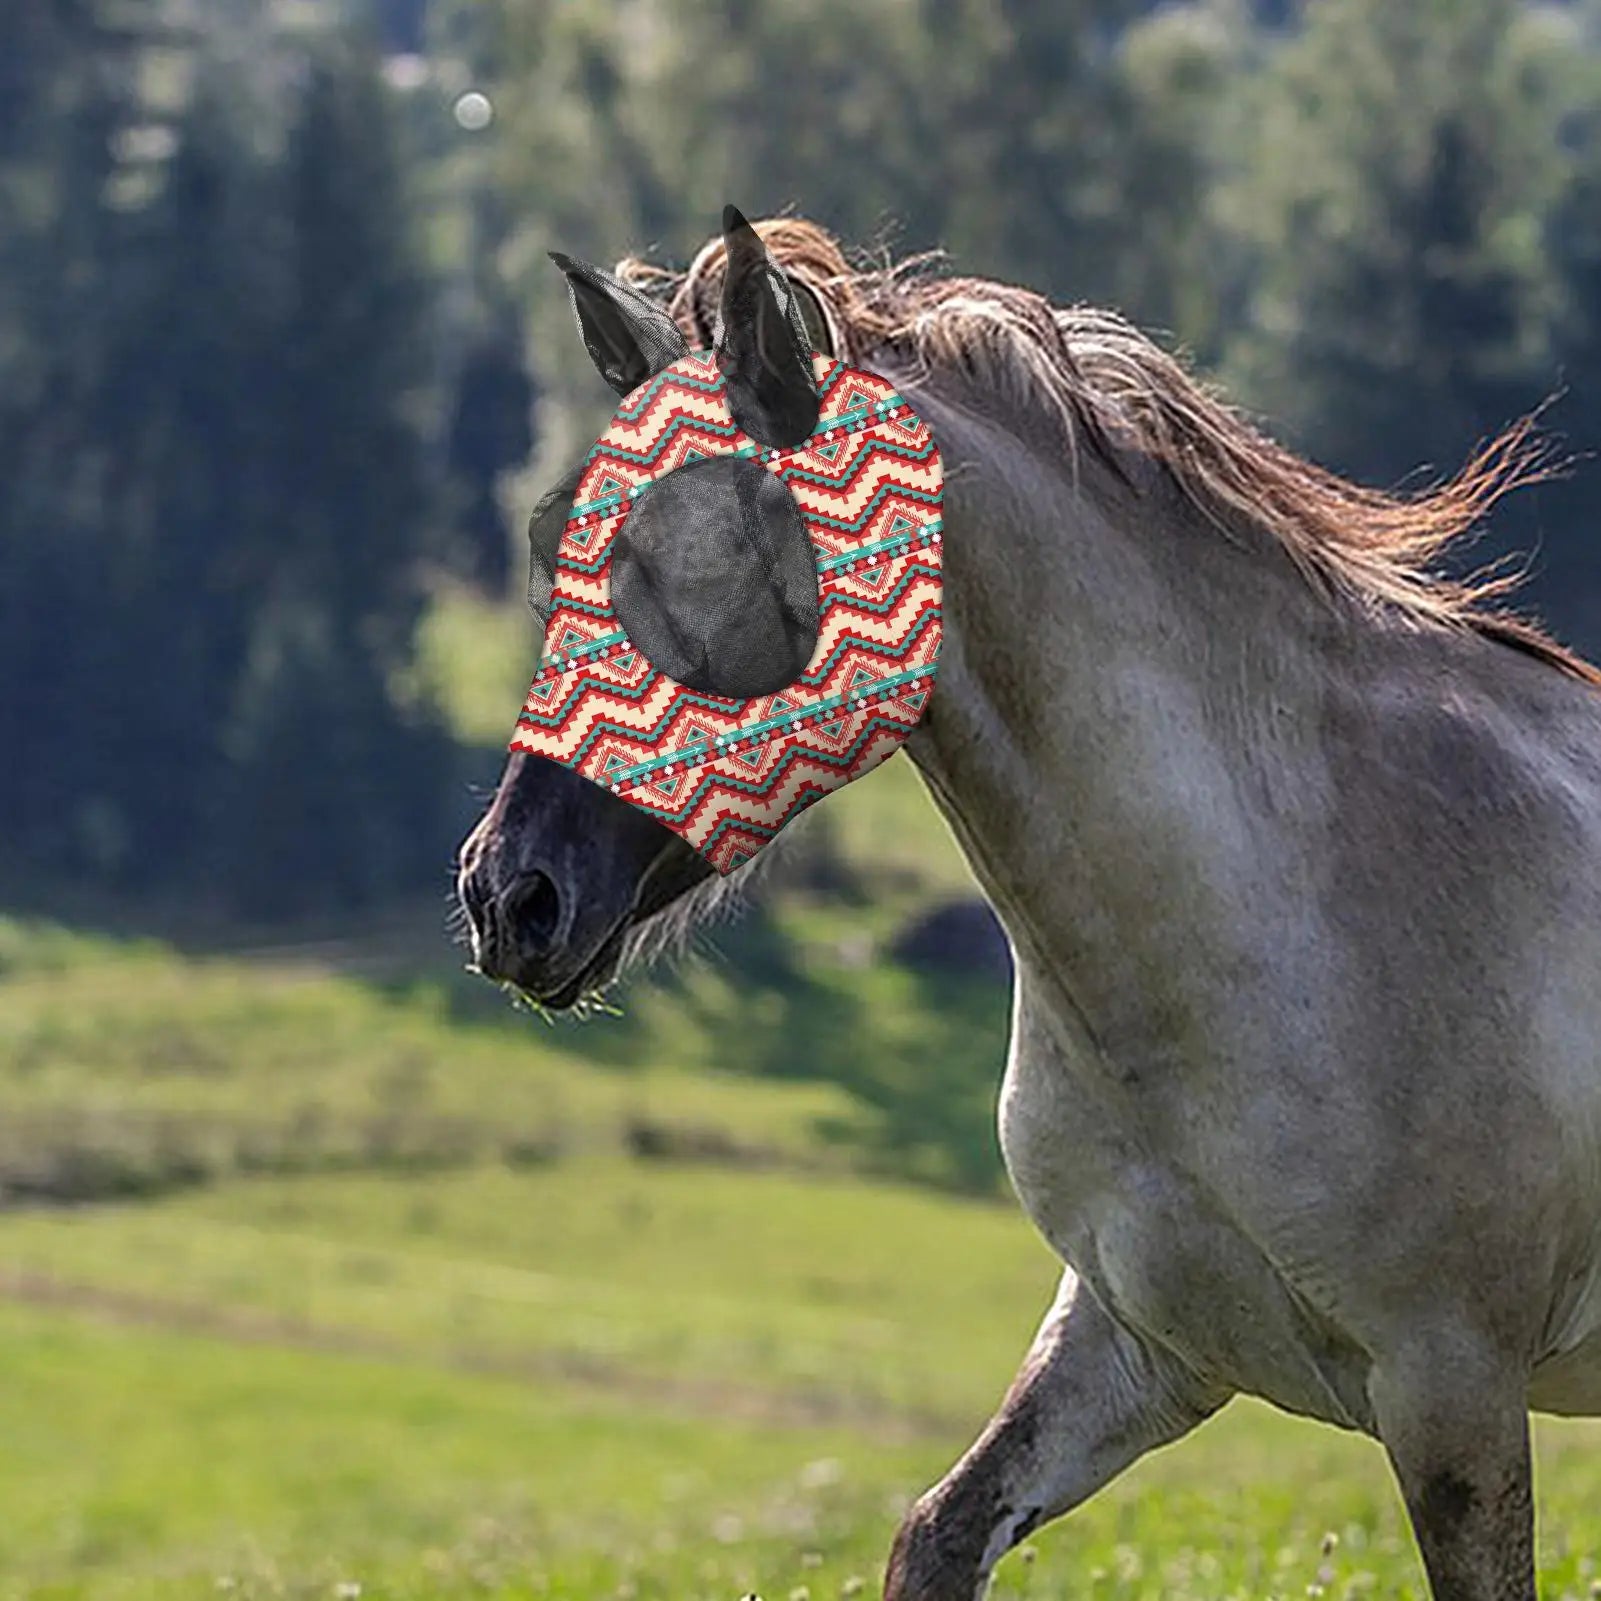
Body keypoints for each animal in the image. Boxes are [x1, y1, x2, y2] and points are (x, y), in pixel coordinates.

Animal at [457, 208, 1601, 1601]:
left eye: (704, 549)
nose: (510, 892)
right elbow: (936, 1531)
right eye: (553, 539)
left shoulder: (1452, 1390)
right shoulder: (1137, 1343)